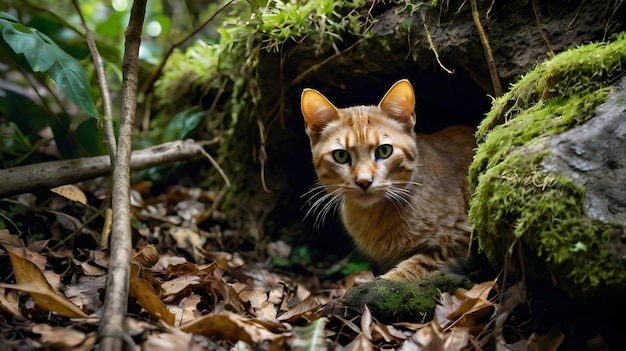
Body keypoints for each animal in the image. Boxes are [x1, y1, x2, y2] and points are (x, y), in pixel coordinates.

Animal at [298, 80, 472, 284]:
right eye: (341, 155)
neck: (373, 216)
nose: (364, 181)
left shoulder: (458, 237)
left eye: (384, 151)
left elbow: (413, 268)